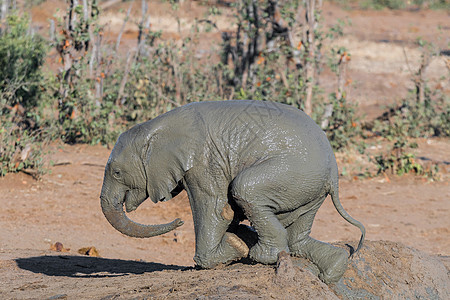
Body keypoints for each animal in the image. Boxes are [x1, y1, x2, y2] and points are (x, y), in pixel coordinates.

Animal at [100, 100, 364, 284]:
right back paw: (332, 270)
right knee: (297, 234)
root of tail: (334, 174)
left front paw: (235, 245)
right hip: (310, 187)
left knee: (244, 188)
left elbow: (218, 211)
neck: (154, 128)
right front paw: (241, 237)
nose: (178, 221)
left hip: (295, 171)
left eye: (117, 173)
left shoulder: (205, 163)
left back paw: (260, 256)